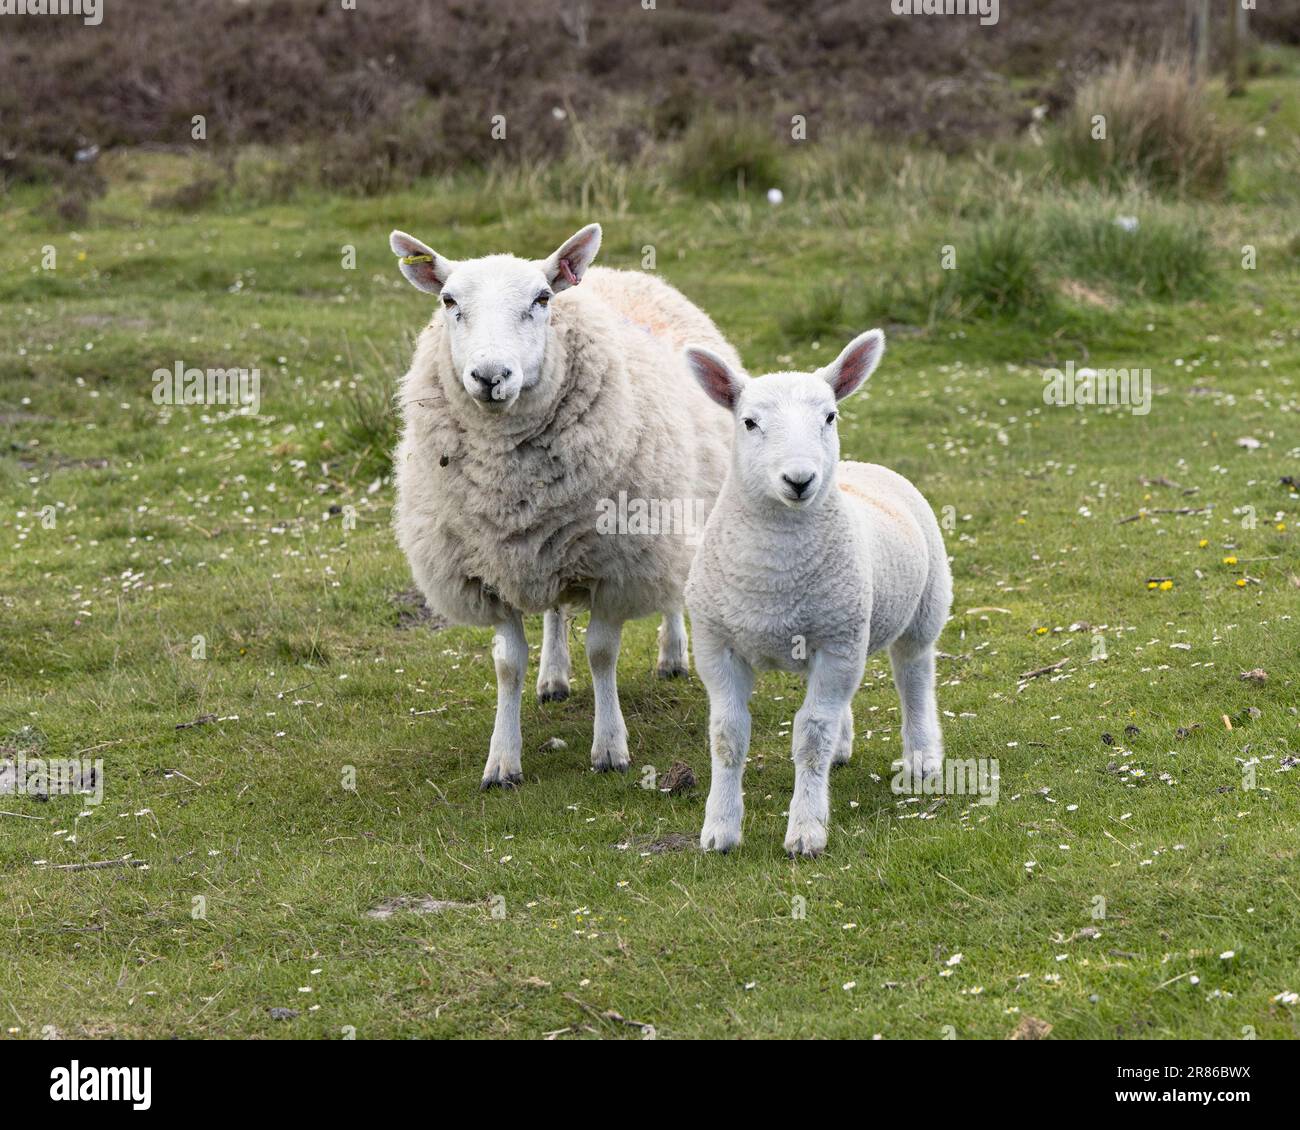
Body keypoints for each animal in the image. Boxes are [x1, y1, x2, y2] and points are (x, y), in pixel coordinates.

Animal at [389, 223, 738, 788]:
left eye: (541, 299)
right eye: (449, 301)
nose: (490, 376)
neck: (509, 487)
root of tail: (619, 273)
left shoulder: (617, 564)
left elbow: (602, 653)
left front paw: (610, 747)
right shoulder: (490, 568)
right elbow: (508, 663)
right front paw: (502, 761)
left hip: (671, 518)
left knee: (671, 590)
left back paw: (672, 656)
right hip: (553, 543)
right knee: (554, 610)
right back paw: (553, 677)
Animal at [681, 330, 952, 857]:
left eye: (830, 416)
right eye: (749, 422)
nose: (800, 479)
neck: (774, 576)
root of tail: (862, 466)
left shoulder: (837, 644)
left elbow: (810, 736)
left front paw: (806, 830)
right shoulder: (717, 645)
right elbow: (728, 736)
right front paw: (720, 829)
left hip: (922, 609)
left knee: (914, 677)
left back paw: (922, 756)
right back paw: (844, 749)